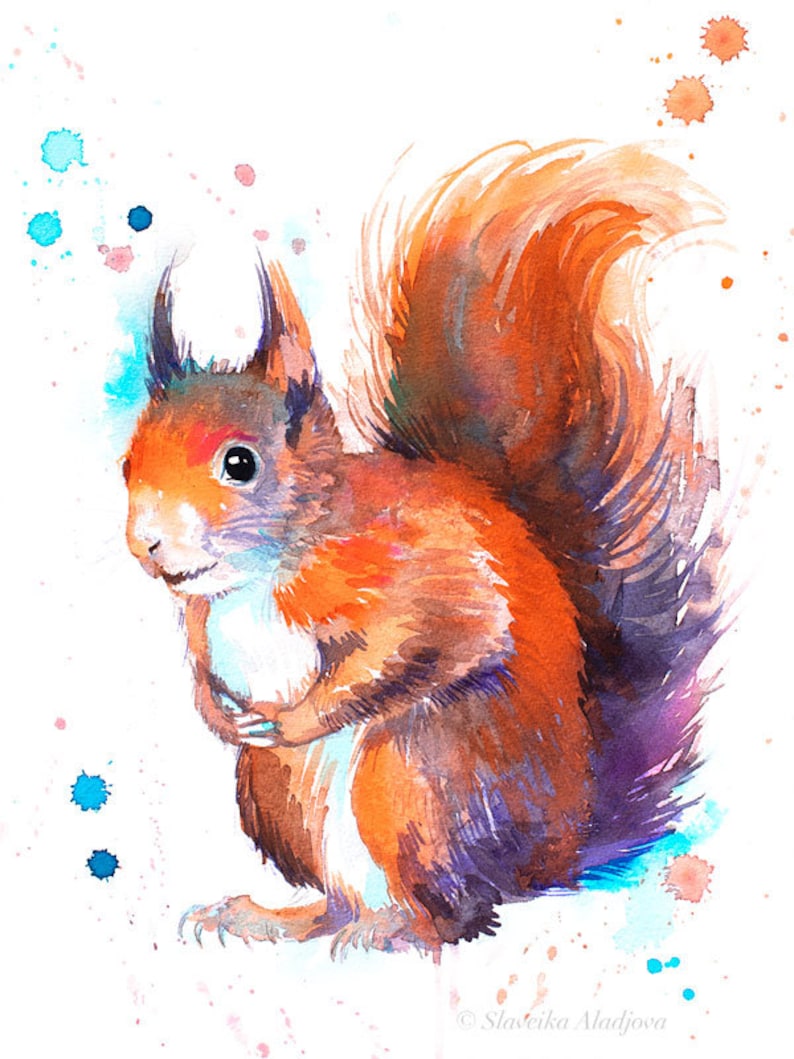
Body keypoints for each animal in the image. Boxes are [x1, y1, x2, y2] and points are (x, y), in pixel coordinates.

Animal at [123, 140, 723, 954]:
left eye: (240, 463)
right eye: (127, 463)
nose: (148, 543)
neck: (262, 572)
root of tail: (558, 851)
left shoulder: (419, 569)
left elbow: (437, 634)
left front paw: (302, 716)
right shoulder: (198, 615)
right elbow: (198, 663)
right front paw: (215, 713)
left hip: (419, 773)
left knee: (455, 913)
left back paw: (394, 930)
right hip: (275, 792)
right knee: (342, 899)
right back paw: (275, 917)